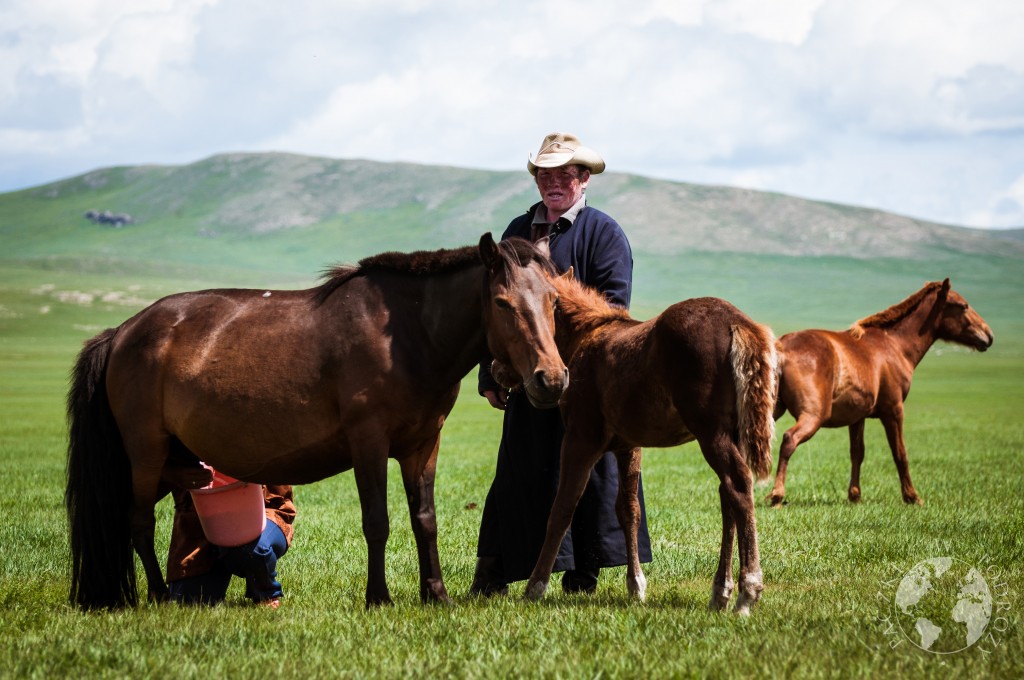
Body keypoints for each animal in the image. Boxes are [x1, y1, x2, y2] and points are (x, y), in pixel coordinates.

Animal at [66, 235, 569, 610]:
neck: (408, 336)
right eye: (502, 303)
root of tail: (123, 331)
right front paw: (378, 598)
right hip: (145, 453)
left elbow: (425, 520)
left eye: (553, 300)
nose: (551, 379)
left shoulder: (423, 445)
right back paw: (156, 594)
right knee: (139, 521)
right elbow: (377, 522)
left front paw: (436, 595)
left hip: (175, 460)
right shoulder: (369, 442)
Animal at [495, 272, 774, 614]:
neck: (586, 338)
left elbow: (562, 508)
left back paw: (747, 591)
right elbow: (628, 510)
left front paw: (535, 587)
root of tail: (737, 322)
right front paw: (636, 586)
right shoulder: (628, 446)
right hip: (731, 434)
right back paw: (721, 591)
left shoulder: (580, 439)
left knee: (737, 484)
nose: (496, 372)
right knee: (728, 498)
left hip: (712, 433)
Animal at [770, 276, 991, 503]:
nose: (988, 335)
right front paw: (912, 497)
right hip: (814, 416)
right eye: (963, 306)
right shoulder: (893, 410)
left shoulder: (857, 417)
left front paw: (855, 495)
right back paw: (777, 495)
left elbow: (857, 453)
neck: (893, 344)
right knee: (789, 440)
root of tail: (782, 347)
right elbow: (900, 453)